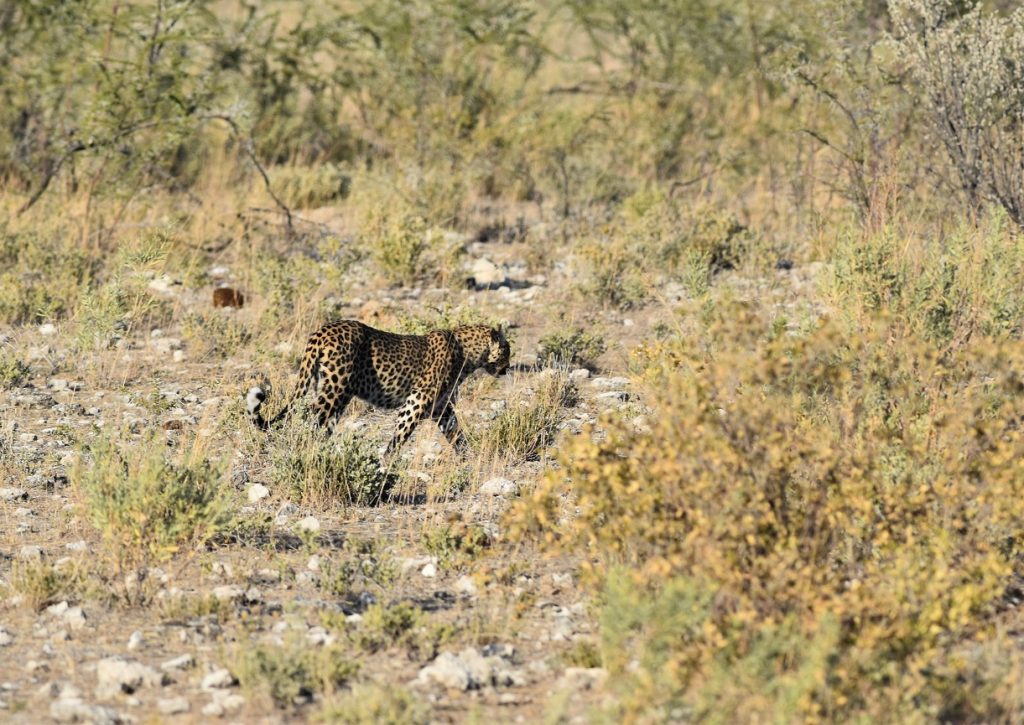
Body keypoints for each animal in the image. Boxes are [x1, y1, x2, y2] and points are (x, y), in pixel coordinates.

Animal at [243, 319, 507, 456]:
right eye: (507, 349)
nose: (508, 367)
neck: (468, 354)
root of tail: (322, 330)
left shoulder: (442, 408)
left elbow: (456, 433)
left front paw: (468, 457)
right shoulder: (417, 401)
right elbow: (401, 435)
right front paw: (387, 463)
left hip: (333, 392)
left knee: (317, 422)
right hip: (334, 391)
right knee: (305, 417)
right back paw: (303, 451)